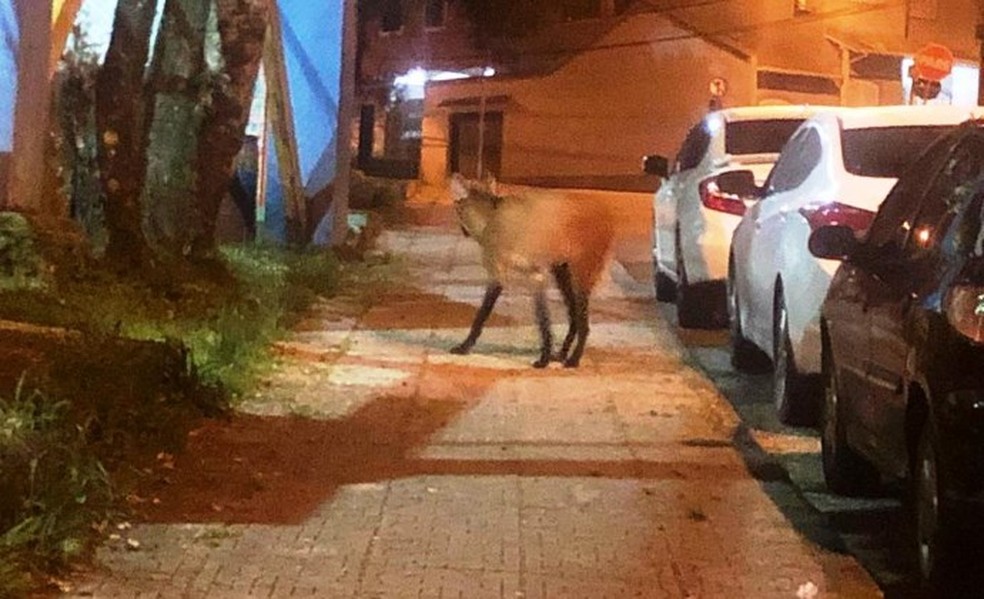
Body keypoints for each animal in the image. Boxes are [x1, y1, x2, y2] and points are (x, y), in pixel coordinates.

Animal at [448, 174, 614, 368]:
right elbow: (545, 322)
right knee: (574, 318)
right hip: (562, 275)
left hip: (579, 279)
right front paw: (546, 357)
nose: (463, 231)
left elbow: (482, 316)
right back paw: (561, 354)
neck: (490, 220)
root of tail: (606, 216)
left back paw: (573, 360)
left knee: (584, 324)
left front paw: (464, 347)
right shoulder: (536, 276)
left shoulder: (502, 275)